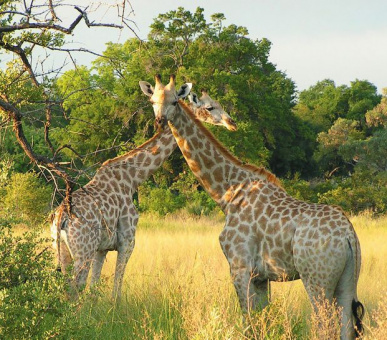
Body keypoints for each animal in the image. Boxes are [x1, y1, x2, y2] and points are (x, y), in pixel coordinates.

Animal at [50, 75, 238, 298]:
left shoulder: (102, 248)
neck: (133, 178)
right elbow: (116, 287)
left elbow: (94, 288)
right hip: (82, 251)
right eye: (210, 107)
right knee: (74, 287)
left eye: (173, 101)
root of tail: (61, 217)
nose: (231, 122)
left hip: (62, 251)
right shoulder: (127, 241)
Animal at [141, 75, 366, 340]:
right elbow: (262, 321)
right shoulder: (261, 277)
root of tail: (348, 236)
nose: (159, 122)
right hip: (348, 281)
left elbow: (247, 322)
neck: (227, 192)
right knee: (346, 327)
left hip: (316, 279)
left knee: (325, 326)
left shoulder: (240, 268)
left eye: (175, 101)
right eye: (152, 101)